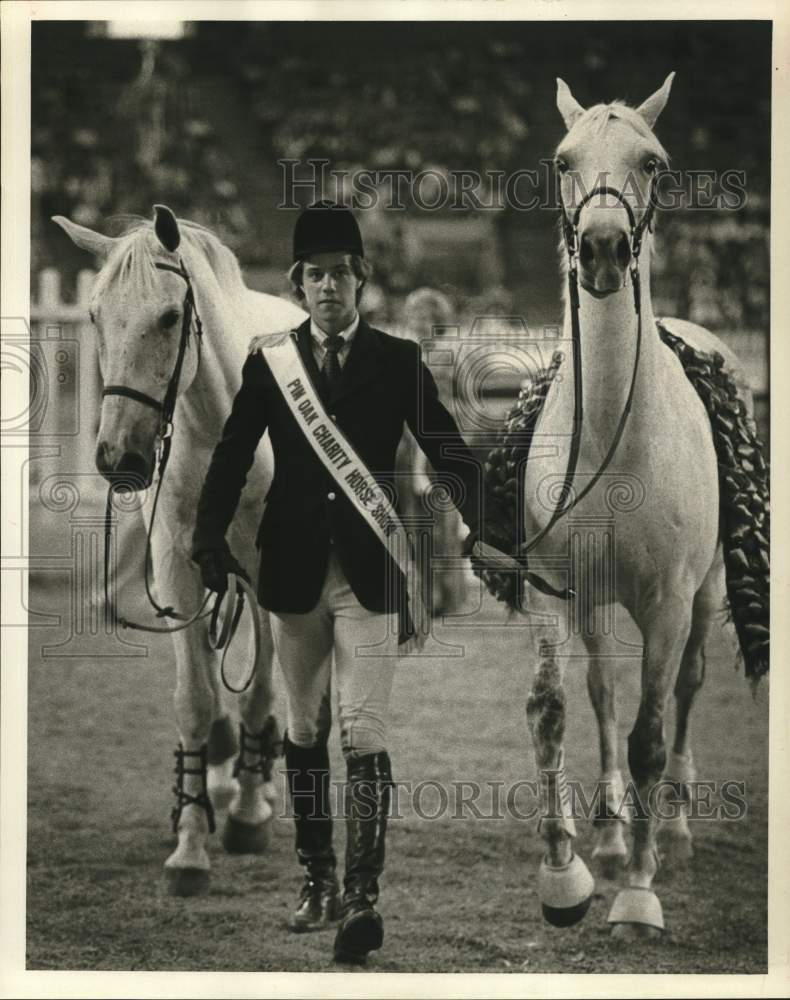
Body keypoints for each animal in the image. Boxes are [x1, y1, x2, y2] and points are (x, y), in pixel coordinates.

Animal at [52, 207, 306, 896]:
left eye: (169, 317)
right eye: (94, 315)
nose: (118, 456)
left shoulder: (271, 577)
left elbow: (261, 692)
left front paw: (248, 813)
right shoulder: (178, 570)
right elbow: (196, 701)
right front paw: (191, 846)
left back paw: (253, 794)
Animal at [524, 72, 756, 936]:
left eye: (652, 161)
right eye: (563, 159)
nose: (601, 247)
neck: (614, 443)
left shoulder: (666, 602)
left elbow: (651, 734)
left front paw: (638, 895)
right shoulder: (555, 588)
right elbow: (558, 708)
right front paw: (568, 873)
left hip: (709, 590)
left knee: (685, 689)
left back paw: (676, 831)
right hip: (598, 600)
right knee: (602, 690)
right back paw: (614, 829)